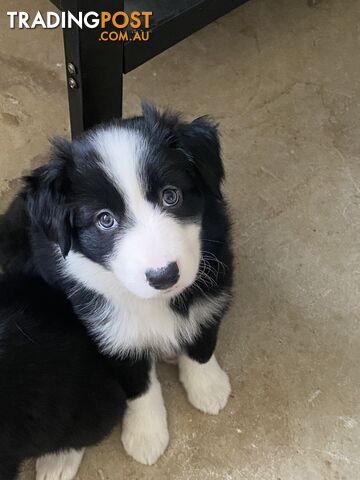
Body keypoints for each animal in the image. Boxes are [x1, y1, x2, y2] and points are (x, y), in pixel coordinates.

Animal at [0, 103, 233, 478]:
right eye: (104, 219)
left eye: (171, 195)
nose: (164, 276)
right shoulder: (108, 330)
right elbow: (139, 384)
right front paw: (146, 435)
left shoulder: (215, 278)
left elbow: (202, 337)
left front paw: (207, 387)